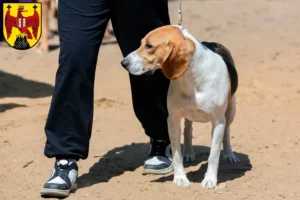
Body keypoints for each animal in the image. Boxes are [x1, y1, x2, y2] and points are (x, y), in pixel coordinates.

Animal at [120, 25, 240, 189]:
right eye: (141, 43)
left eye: (149, 46)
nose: (123, 63)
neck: (192, 79)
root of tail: (211, 43)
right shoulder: (173, 120)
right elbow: (177, 154)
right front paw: (180, 178)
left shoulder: (218, 121)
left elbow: (214, 155)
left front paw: (210, 180)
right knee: (188, 130)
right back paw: (189, 153)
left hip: (231, 111)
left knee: (227, 131)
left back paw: (229, 154)